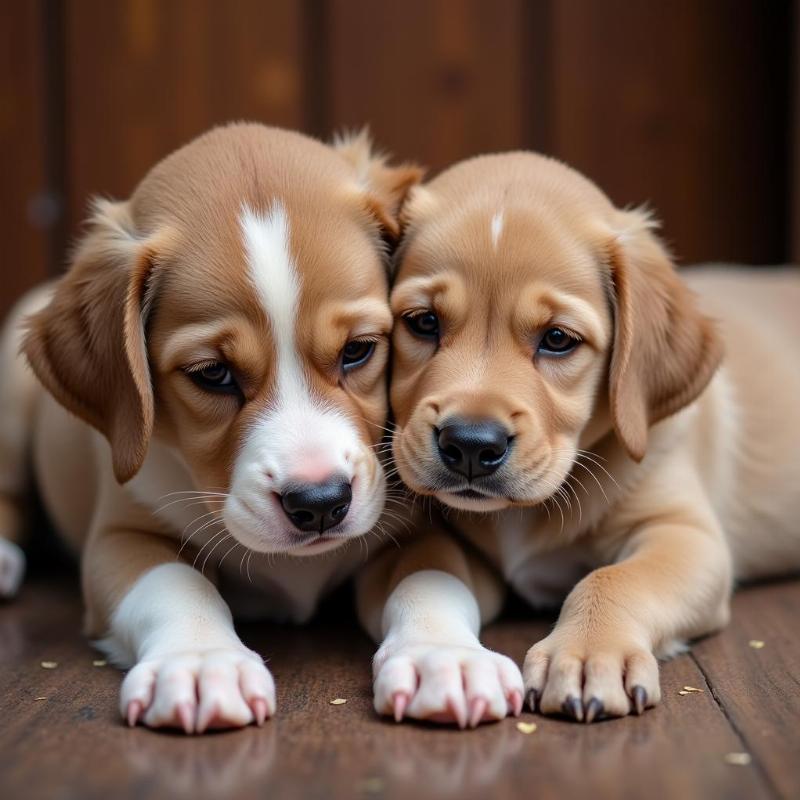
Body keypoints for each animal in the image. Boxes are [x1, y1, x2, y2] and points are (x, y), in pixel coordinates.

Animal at [0, 125, 424, 732]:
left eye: (359, 350)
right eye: (213, 374)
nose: (320, 503)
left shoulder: (413, 533)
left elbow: (427, 582)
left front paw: (446, 659)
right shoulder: (122, 536)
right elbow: (177, 585)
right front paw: (203, 662)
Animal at [376, 152, 800, 724]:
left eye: (558, 339)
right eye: (423, 322)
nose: (470, 444)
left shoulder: (684, 533)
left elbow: (614, 578)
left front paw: (586, 653)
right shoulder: (418, 538)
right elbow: (426, 579)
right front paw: (443, 657)